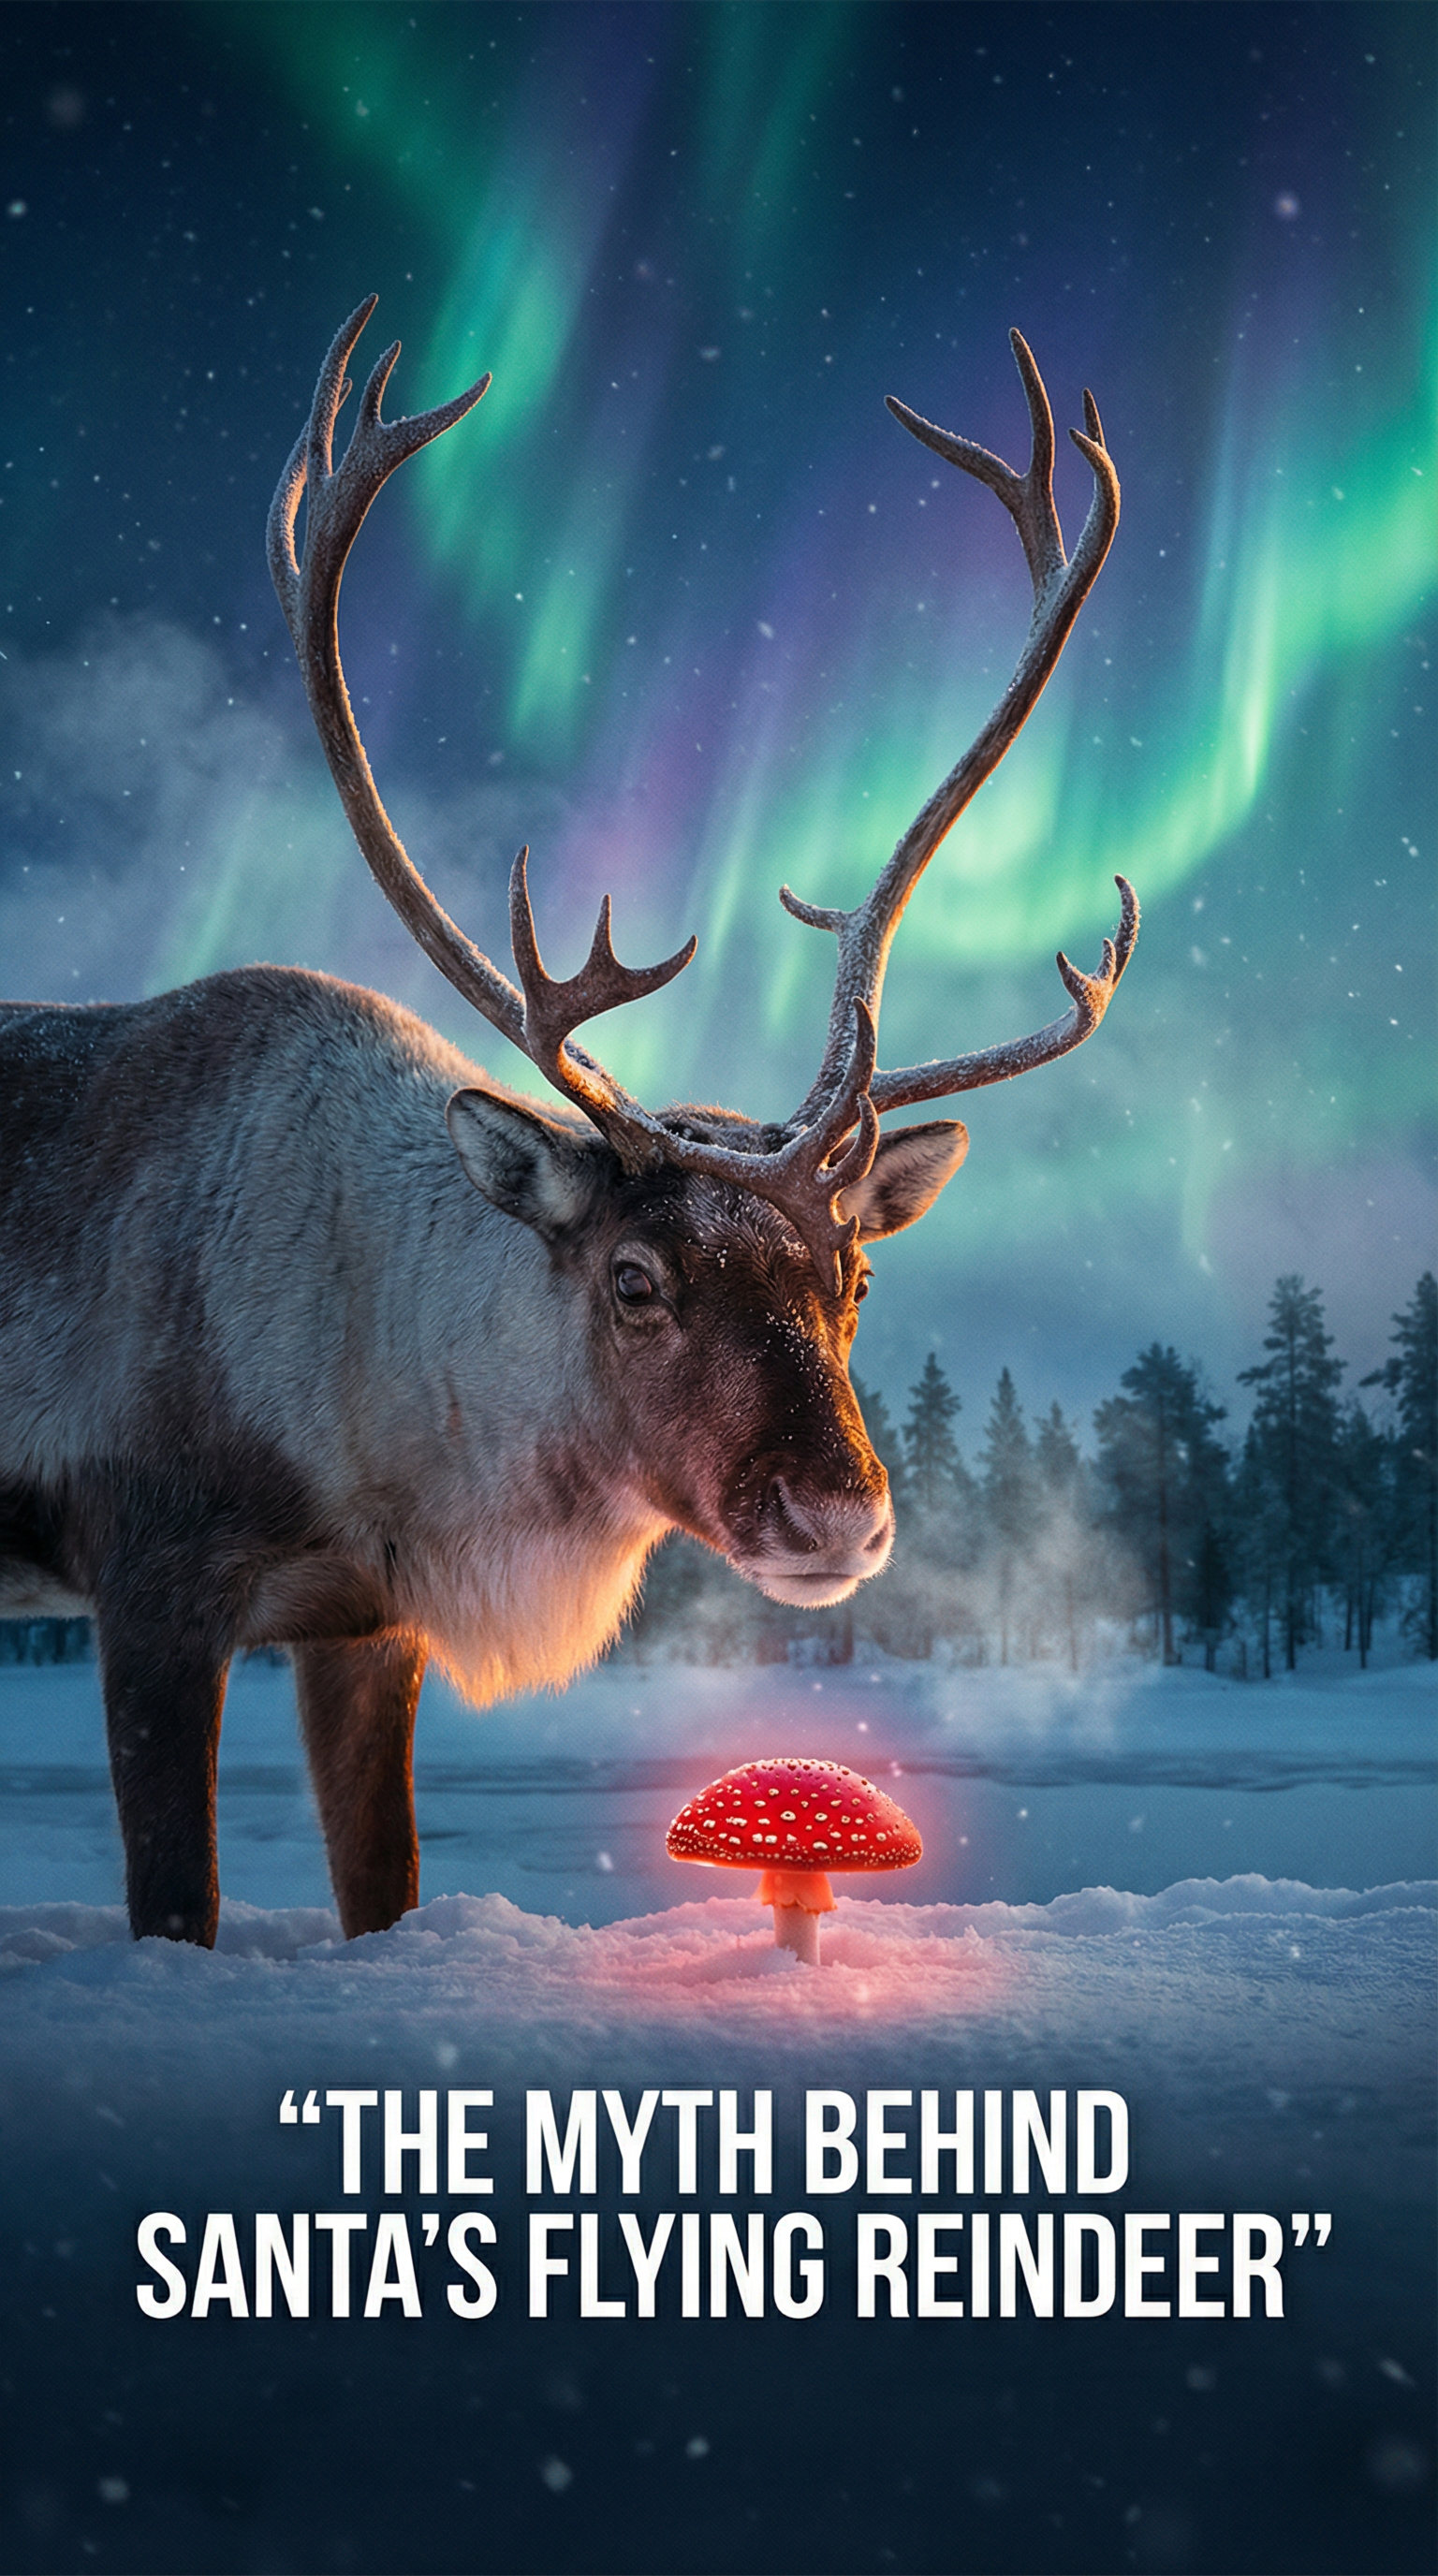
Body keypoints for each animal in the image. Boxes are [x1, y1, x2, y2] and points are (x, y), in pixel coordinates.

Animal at [0, 301, 1134, 1946]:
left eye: (855, 1277)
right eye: (635, 1281)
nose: (837, 1521)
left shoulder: (364, 1625)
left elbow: (386, 1891)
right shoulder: (149, 1584)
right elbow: (176, 1903)